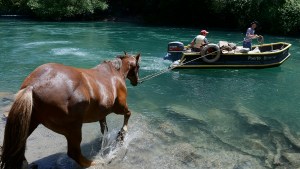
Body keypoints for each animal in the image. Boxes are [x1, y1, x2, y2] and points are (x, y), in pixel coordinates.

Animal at [0, 53, 141, 169]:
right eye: (138, 66)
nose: (137, 81)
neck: (113, 73)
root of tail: (33, 85)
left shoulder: (102, 114)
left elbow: (104, 129)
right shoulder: (119, 107)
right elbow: (128, 114)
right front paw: (122, 134)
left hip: (30, 122)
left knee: (15, 146)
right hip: (74, 128)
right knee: (74, 153)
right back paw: (95, 162)